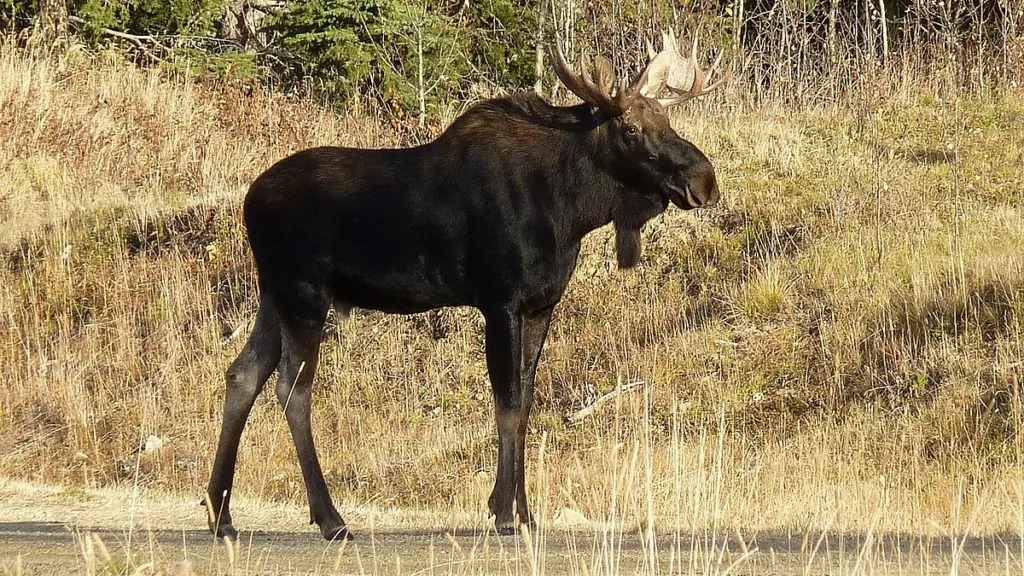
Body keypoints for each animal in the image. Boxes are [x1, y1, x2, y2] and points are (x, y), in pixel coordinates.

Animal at [201, 28, 729, 537]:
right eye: (631, 130)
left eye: (668, 121)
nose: (704, 179)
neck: (571, 208)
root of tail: (248, 201)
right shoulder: (500, 300)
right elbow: (507, 403)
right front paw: (503, 512)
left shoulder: (541, 304)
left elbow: (526, 401)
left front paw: (525, 512)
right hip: (304, 294)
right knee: (292, 389)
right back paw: (330, 518)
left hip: (273, 296)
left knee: (242, 374)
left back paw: (222, 514)